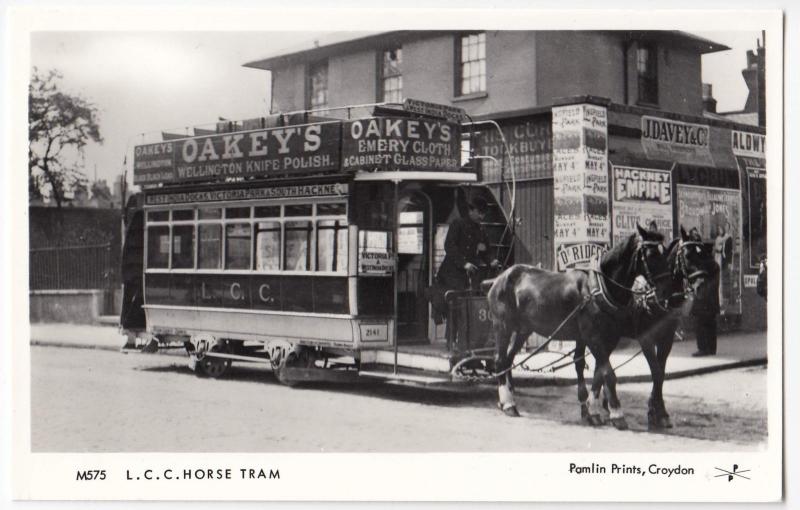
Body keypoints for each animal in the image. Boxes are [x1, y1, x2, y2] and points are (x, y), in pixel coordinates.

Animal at [484, 225, 672, 428]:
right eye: (651, 254)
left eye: (665, 252)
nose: (666, 292)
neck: (599, 289)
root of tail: (500, 277)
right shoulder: (593, 337)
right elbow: (608, 373)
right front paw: (616, 414)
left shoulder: (604, 338)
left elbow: (596, 372)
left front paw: (591, 411)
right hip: (503, 325)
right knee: (500, 359)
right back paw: (509, 404)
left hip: (523, 329)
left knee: (509, 359)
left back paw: (506, 400)